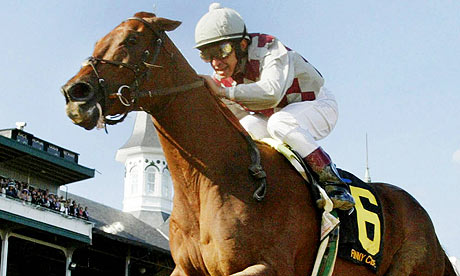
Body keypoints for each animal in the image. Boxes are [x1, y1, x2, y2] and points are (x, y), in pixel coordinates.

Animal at [61, 11, 456, 274]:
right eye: (99, 41)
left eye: (131, 40)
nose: (75, 93)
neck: (212, 178)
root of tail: (430, 230)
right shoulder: (185, 269)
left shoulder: (268, 266)